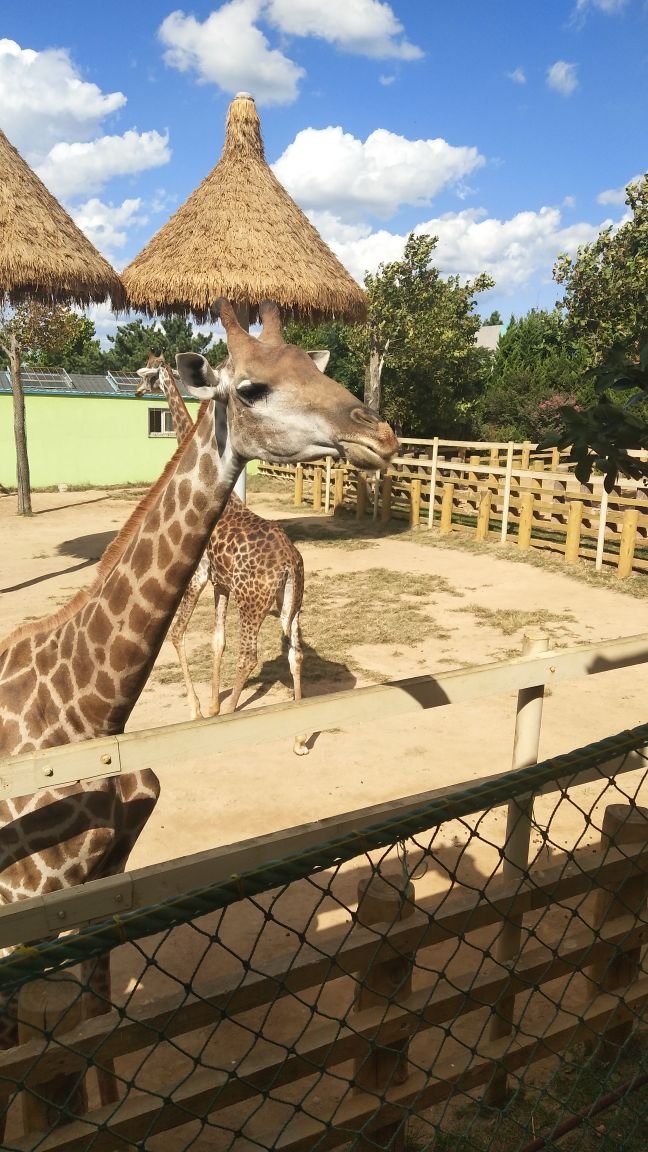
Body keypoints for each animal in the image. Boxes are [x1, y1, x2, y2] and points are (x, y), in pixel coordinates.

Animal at [134, 354, 309, 760]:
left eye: (147, 374)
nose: (135, 391)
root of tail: (291, 564)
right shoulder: (221, 586)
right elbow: (217, 641)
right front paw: (212, 706)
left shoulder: (198, 575)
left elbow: (179, 634)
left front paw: (200, 709)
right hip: (289, 608)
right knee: (295, 655)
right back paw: (299, 738)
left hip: (253, 604)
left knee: (249, 656)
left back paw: (233, 716)